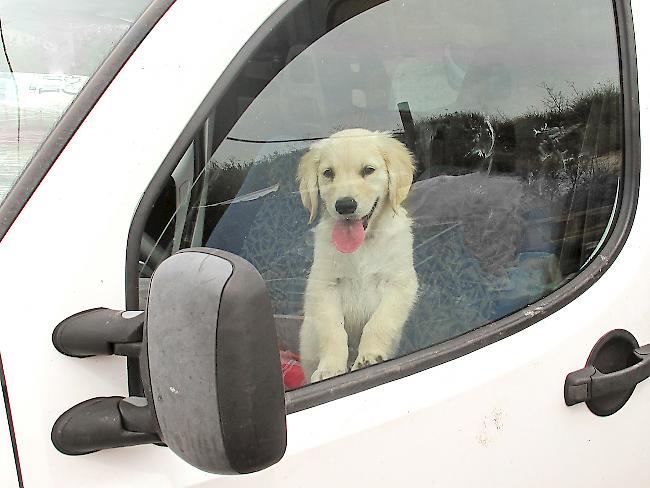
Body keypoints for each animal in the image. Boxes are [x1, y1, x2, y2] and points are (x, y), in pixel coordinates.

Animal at [296, 127, 418, 384]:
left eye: (368, 170)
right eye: (328, 173)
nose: (345, 205)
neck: (363, 246)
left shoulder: (400, 284)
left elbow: (378, 323)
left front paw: (370, 356)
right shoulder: (324, 287)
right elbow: (334, 331)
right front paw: (330, 368)